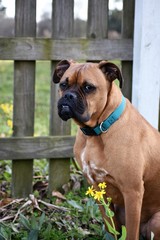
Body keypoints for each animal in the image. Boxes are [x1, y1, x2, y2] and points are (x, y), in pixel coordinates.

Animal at [52, 60, 160, 240]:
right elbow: (111, 226)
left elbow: (131, 233)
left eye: (89, 87)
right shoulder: (97, 189)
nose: (68, 96)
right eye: (63, 84)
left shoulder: (133, 192)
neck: (98, 131)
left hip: (156, 221)